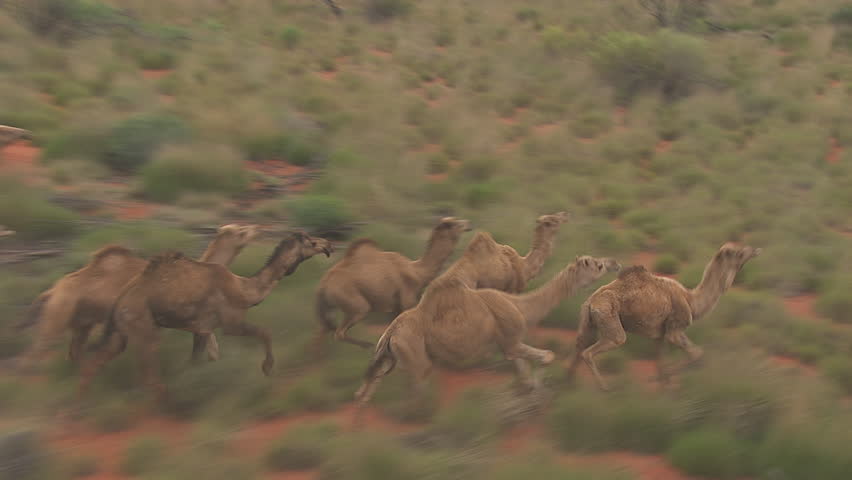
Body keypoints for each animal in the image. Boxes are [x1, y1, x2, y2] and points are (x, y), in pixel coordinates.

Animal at [18, 223, 260, 370]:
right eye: (241, 232)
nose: (255, 228)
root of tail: (51, 292)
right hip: (58, 315)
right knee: (35, 353)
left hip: (81, 322)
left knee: (74, 352)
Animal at [78, 232, 332, 398]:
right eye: (311, 241)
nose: (328, 244)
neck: (243, 289)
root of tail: (119, 302)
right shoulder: (230, 322)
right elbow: (265, 332)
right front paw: (267, 368)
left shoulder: (202, 329)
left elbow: (197, 360)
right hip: (141, 323)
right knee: (149, 370)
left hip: (122, 331)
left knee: (96, 362)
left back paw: (85, 400)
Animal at [312, 218, 472, 348]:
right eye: (454, 223)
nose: (468, 224)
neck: (416, 272)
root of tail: (323, 284)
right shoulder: (407, 301)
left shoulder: (395, 306)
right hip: (356, 305)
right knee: (339, 332)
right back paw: (367, 346)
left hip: (329, 306)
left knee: (322, 331)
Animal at [352, 255, 620, 408]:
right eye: (597, 265)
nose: (614, 263)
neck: (521, 307)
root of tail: (390, 333)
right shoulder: (511, 340)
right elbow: (547, 356)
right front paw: (540, 392)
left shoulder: (507, 345)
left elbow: (523, 370)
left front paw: (531, 391)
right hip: (417, 358)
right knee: (417, 388)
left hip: (391, 357)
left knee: (368, 388)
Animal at [568, 242, 764, 392]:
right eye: (739, 252)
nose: (755, 249)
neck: (691, 300)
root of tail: (590, 302)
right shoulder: (675, 328)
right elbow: (696, 353)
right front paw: (661, 380)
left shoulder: (660, 335)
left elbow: (661, 363)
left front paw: (664, 387)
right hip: (609, 319)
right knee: (592, 351)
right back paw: (605, 388)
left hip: (588, 322)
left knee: (579, 347)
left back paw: (568, 386)